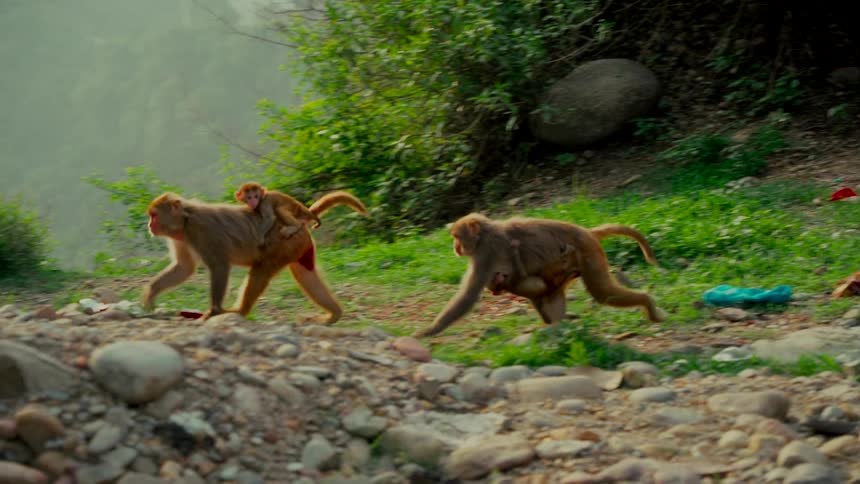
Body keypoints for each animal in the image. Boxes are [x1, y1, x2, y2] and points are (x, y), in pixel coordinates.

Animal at [143, 190, 368, 322]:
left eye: (154, 215)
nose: (149, 225)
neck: (186, 220)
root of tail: (297, 221)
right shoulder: (180, 237)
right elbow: (184, 267)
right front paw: (151, 293)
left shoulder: (202, 231)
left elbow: (219, 266)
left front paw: (214, 311)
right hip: (298, 248)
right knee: (306, 275)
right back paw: (334, 315)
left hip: (284, 245)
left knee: (260, 272)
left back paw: (240, 312)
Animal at [415, 213, 666, 337]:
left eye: (457, 237)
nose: (455, 248)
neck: (485, 234)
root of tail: (587, 232)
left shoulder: (486, 252)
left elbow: (468, 296)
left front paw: (429, 330)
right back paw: (558, 325)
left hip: (589, 254)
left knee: (602, 292)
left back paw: (647, 302)